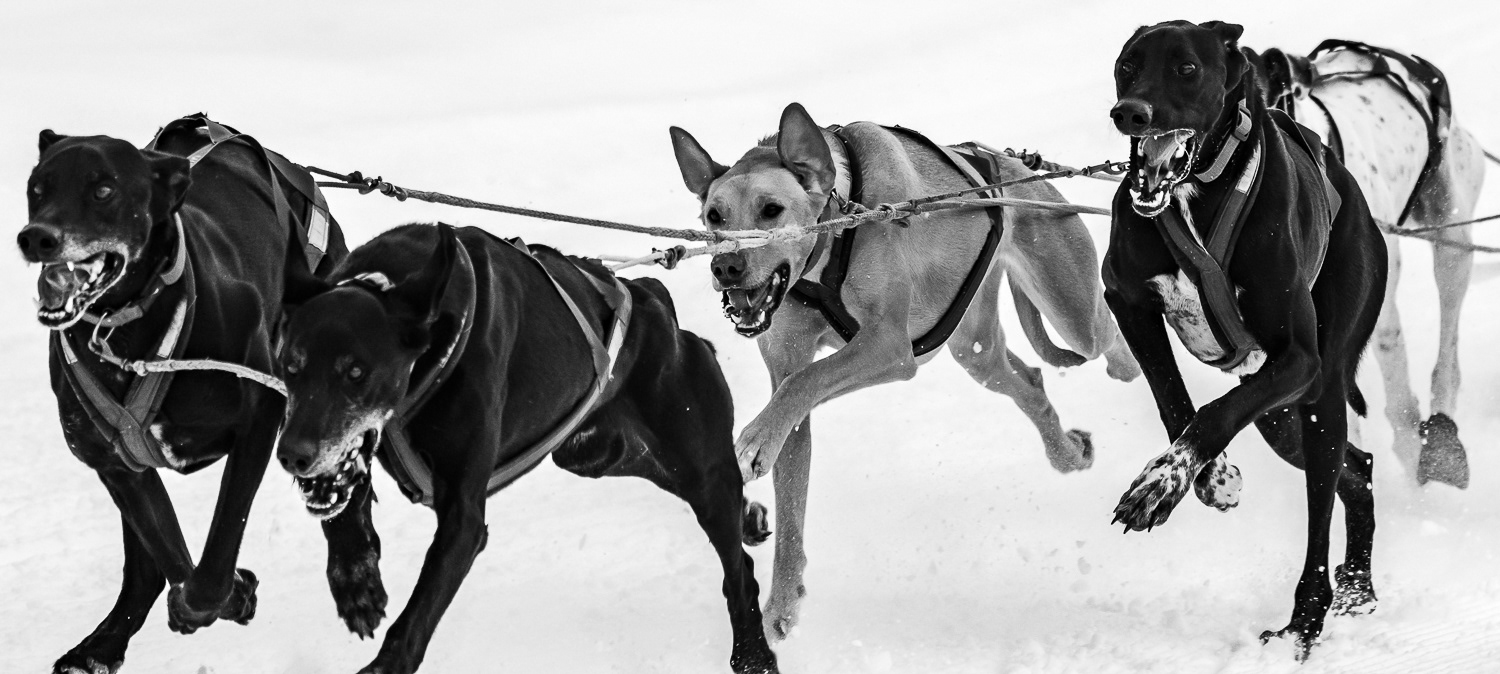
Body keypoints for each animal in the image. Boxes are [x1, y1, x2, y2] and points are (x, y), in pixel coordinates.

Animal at [19, 115, 347, 673]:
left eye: (103, 190)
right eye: (36, 189)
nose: (35, 237)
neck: (128, 333)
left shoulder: (261, 416)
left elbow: (218, 545)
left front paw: (226, 592)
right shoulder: (117, 462)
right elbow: (170, 554)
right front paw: (226, 595)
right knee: (144, 570)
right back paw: (101, 645)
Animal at [274, 223, 778, 674]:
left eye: (356, 373)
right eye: (291, 366)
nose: (291, 456)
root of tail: (654, 299)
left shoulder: (462, 516)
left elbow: (416, 619)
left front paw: (383, 661)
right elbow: (344, 501)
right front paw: (356, 578)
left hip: (697, 465)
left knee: (736, 569)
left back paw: (754, 652)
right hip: (593, 453)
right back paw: (748, 517)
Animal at [670, 102, 1141, 640]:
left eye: (772, 210)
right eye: (714, 216)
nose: (726, 266)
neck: (841, 218)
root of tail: (1018, 169)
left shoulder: (889, 346)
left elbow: (805, 381)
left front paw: (752, 439)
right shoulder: (793, 375)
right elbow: (790, 479)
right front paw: (780, 605)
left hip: (1071, 309)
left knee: (1105, 332)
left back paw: (1131, 365)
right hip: (973, 346)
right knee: (1028, 380)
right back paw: (1067, 453)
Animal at [1105, 20, 1387, 657]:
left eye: (1186, 68)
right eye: (1127, 65)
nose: (1130, 112)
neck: (1199, 191)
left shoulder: (1300, 359)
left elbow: (1211, 412)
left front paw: (1159, 484)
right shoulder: (1128, 302)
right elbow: (1174, 400)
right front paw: (1205, 478)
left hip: (1319, 390)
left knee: (1324, 502)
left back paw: (1305, 623)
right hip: (1279, 417)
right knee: (1356, 471)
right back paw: (1357, 589)